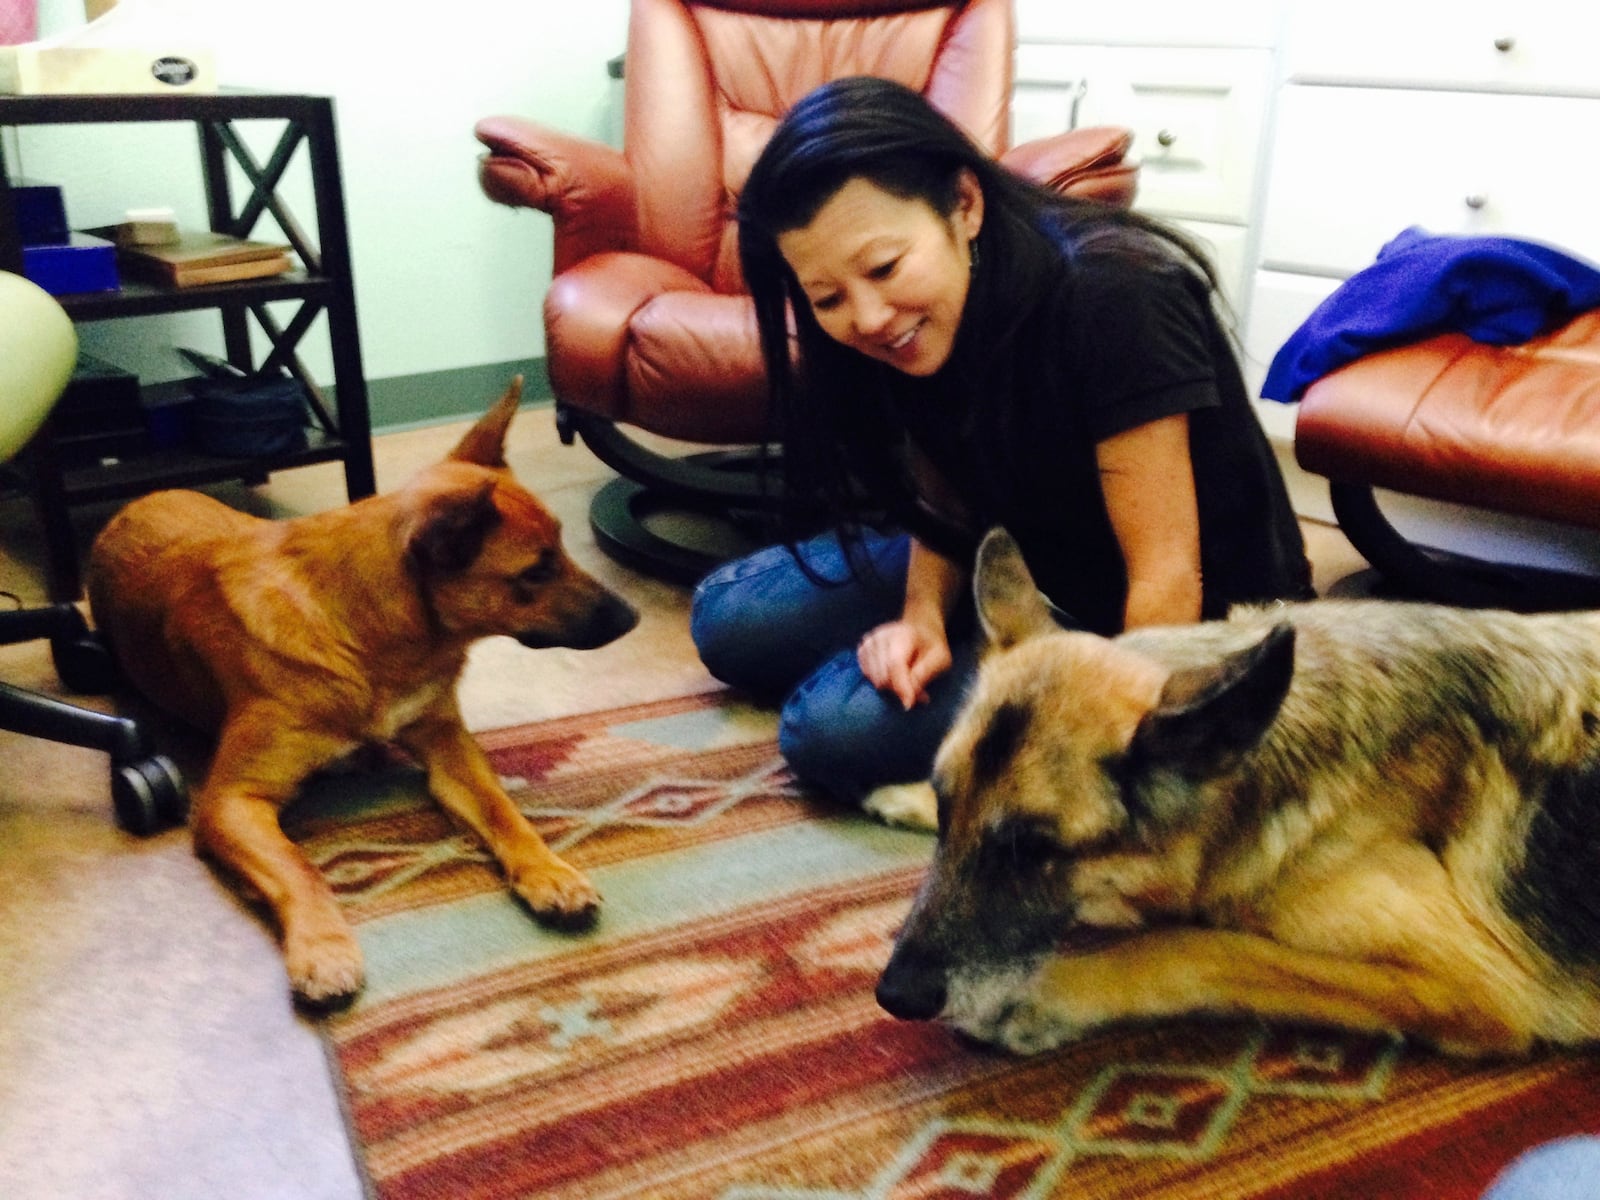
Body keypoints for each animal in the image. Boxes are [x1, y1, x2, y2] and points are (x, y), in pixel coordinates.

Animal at [87, 380, 636, 1011]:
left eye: (563, 551)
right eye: (535, 573)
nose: (633, 617)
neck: (366, 633)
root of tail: (131, 505)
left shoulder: (450, 749)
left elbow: (504, 811)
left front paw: (549, 870)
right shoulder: (231, 802)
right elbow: (299, 868)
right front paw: (323, 948)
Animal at [876, 531, 1600, 1056]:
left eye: (1031, 848)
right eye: (950, 810)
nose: (892, 996)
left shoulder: (1470, 984)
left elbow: (1199, 945)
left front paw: (1046, 993)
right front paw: (904, 797)